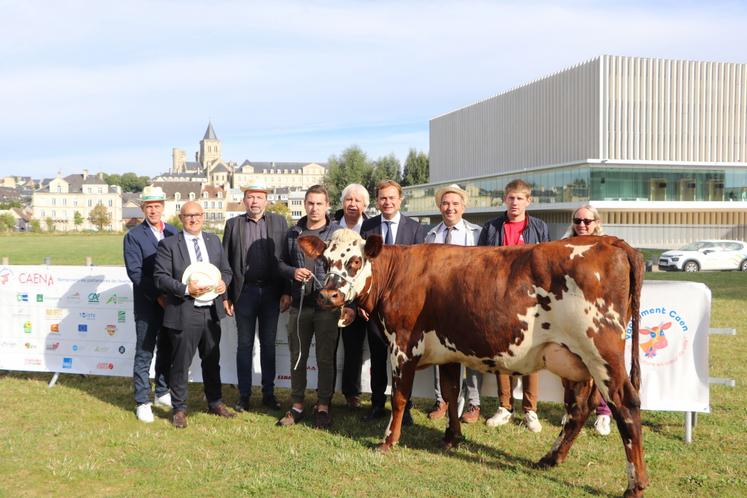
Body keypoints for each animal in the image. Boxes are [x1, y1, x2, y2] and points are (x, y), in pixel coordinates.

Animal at [298, 230, 648, 498]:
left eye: (355, 260)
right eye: (325, 260)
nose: (328, 296)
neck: (397, 274)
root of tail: (611, 241)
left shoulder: (402, 348)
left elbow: (398, 398)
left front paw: (387, 441)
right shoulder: (447, 352)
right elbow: (452, 393)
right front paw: (452, 437)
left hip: (602, 352)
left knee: (625, 404)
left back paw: (635, 485)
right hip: (575, 359)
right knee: (578, 408)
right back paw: (550, 458)